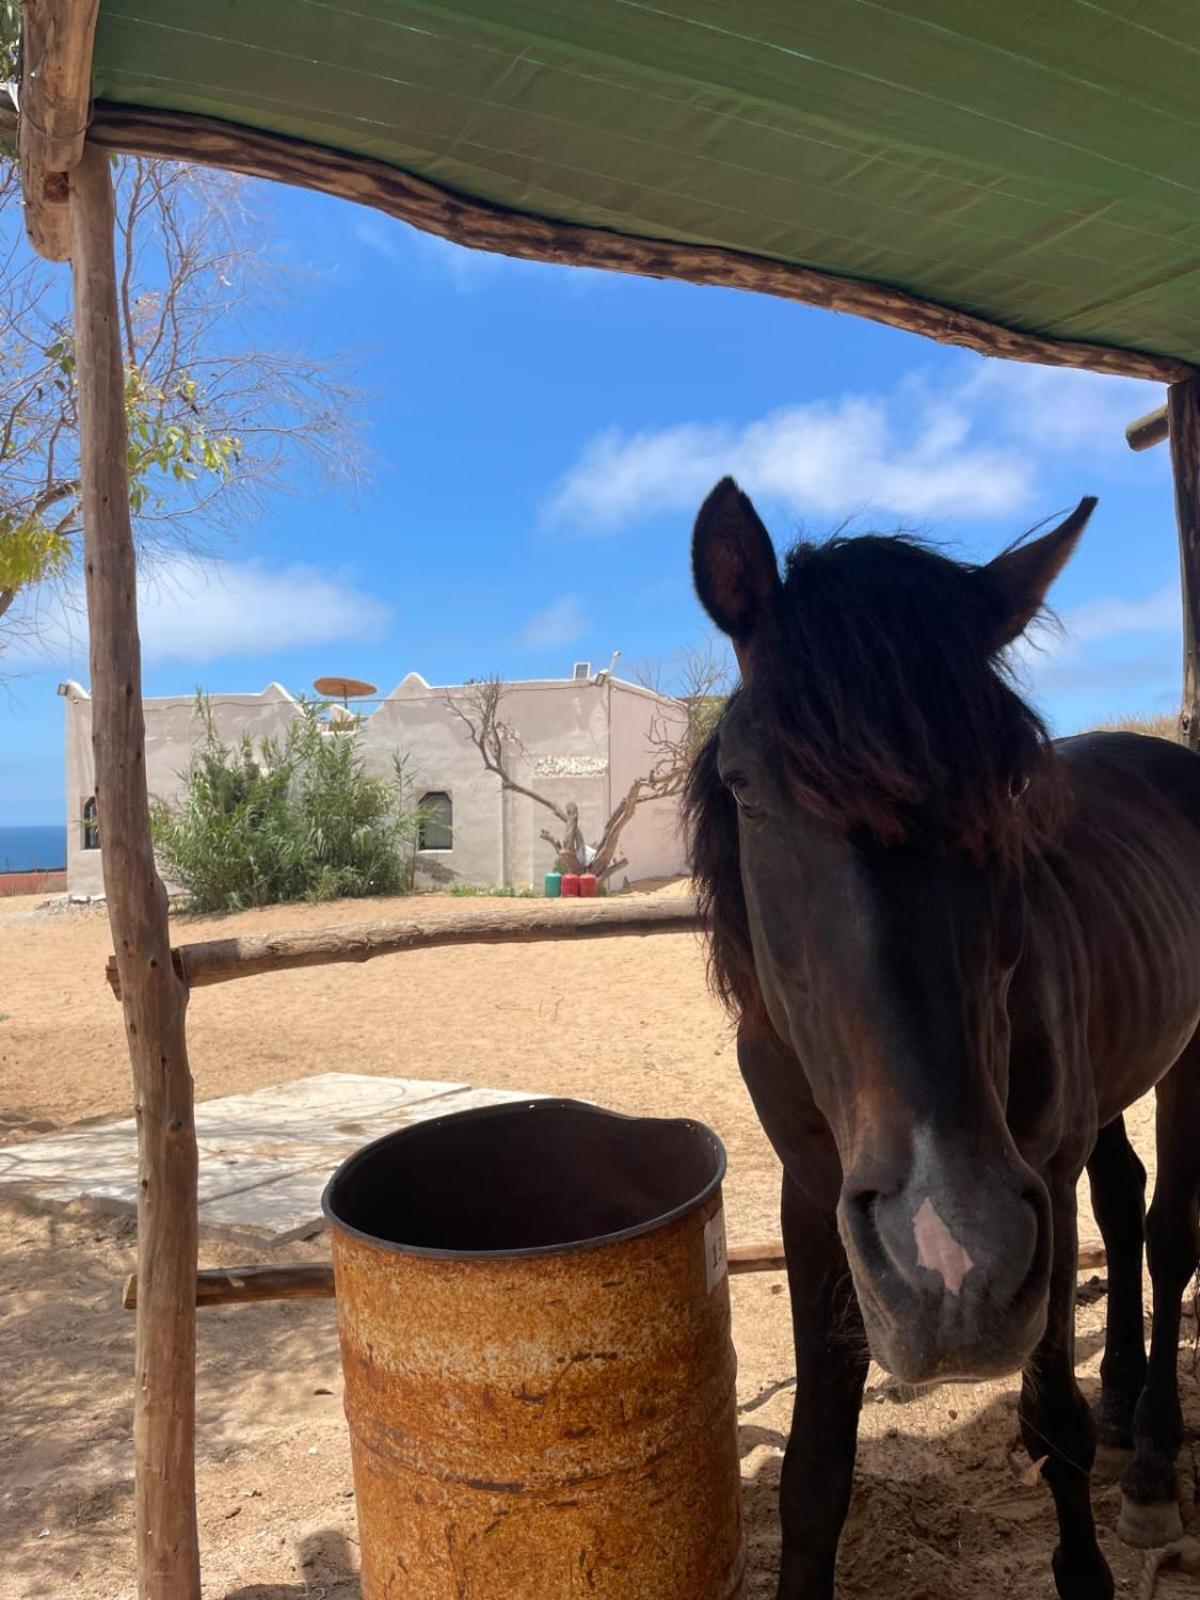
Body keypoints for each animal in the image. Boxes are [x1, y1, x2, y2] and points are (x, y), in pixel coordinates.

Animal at [684, 480, 1200, 1600]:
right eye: (744, 785)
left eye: (1011, 784)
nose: (950, 1264)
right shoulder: (815, 1195)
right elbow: (815, 1472)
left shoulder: (1035, 1182)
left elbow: (1053, 1421)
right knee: (1125, 1201)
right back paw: (1125, 1393)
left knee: (1171, 1235)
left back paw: (1149, 1463)